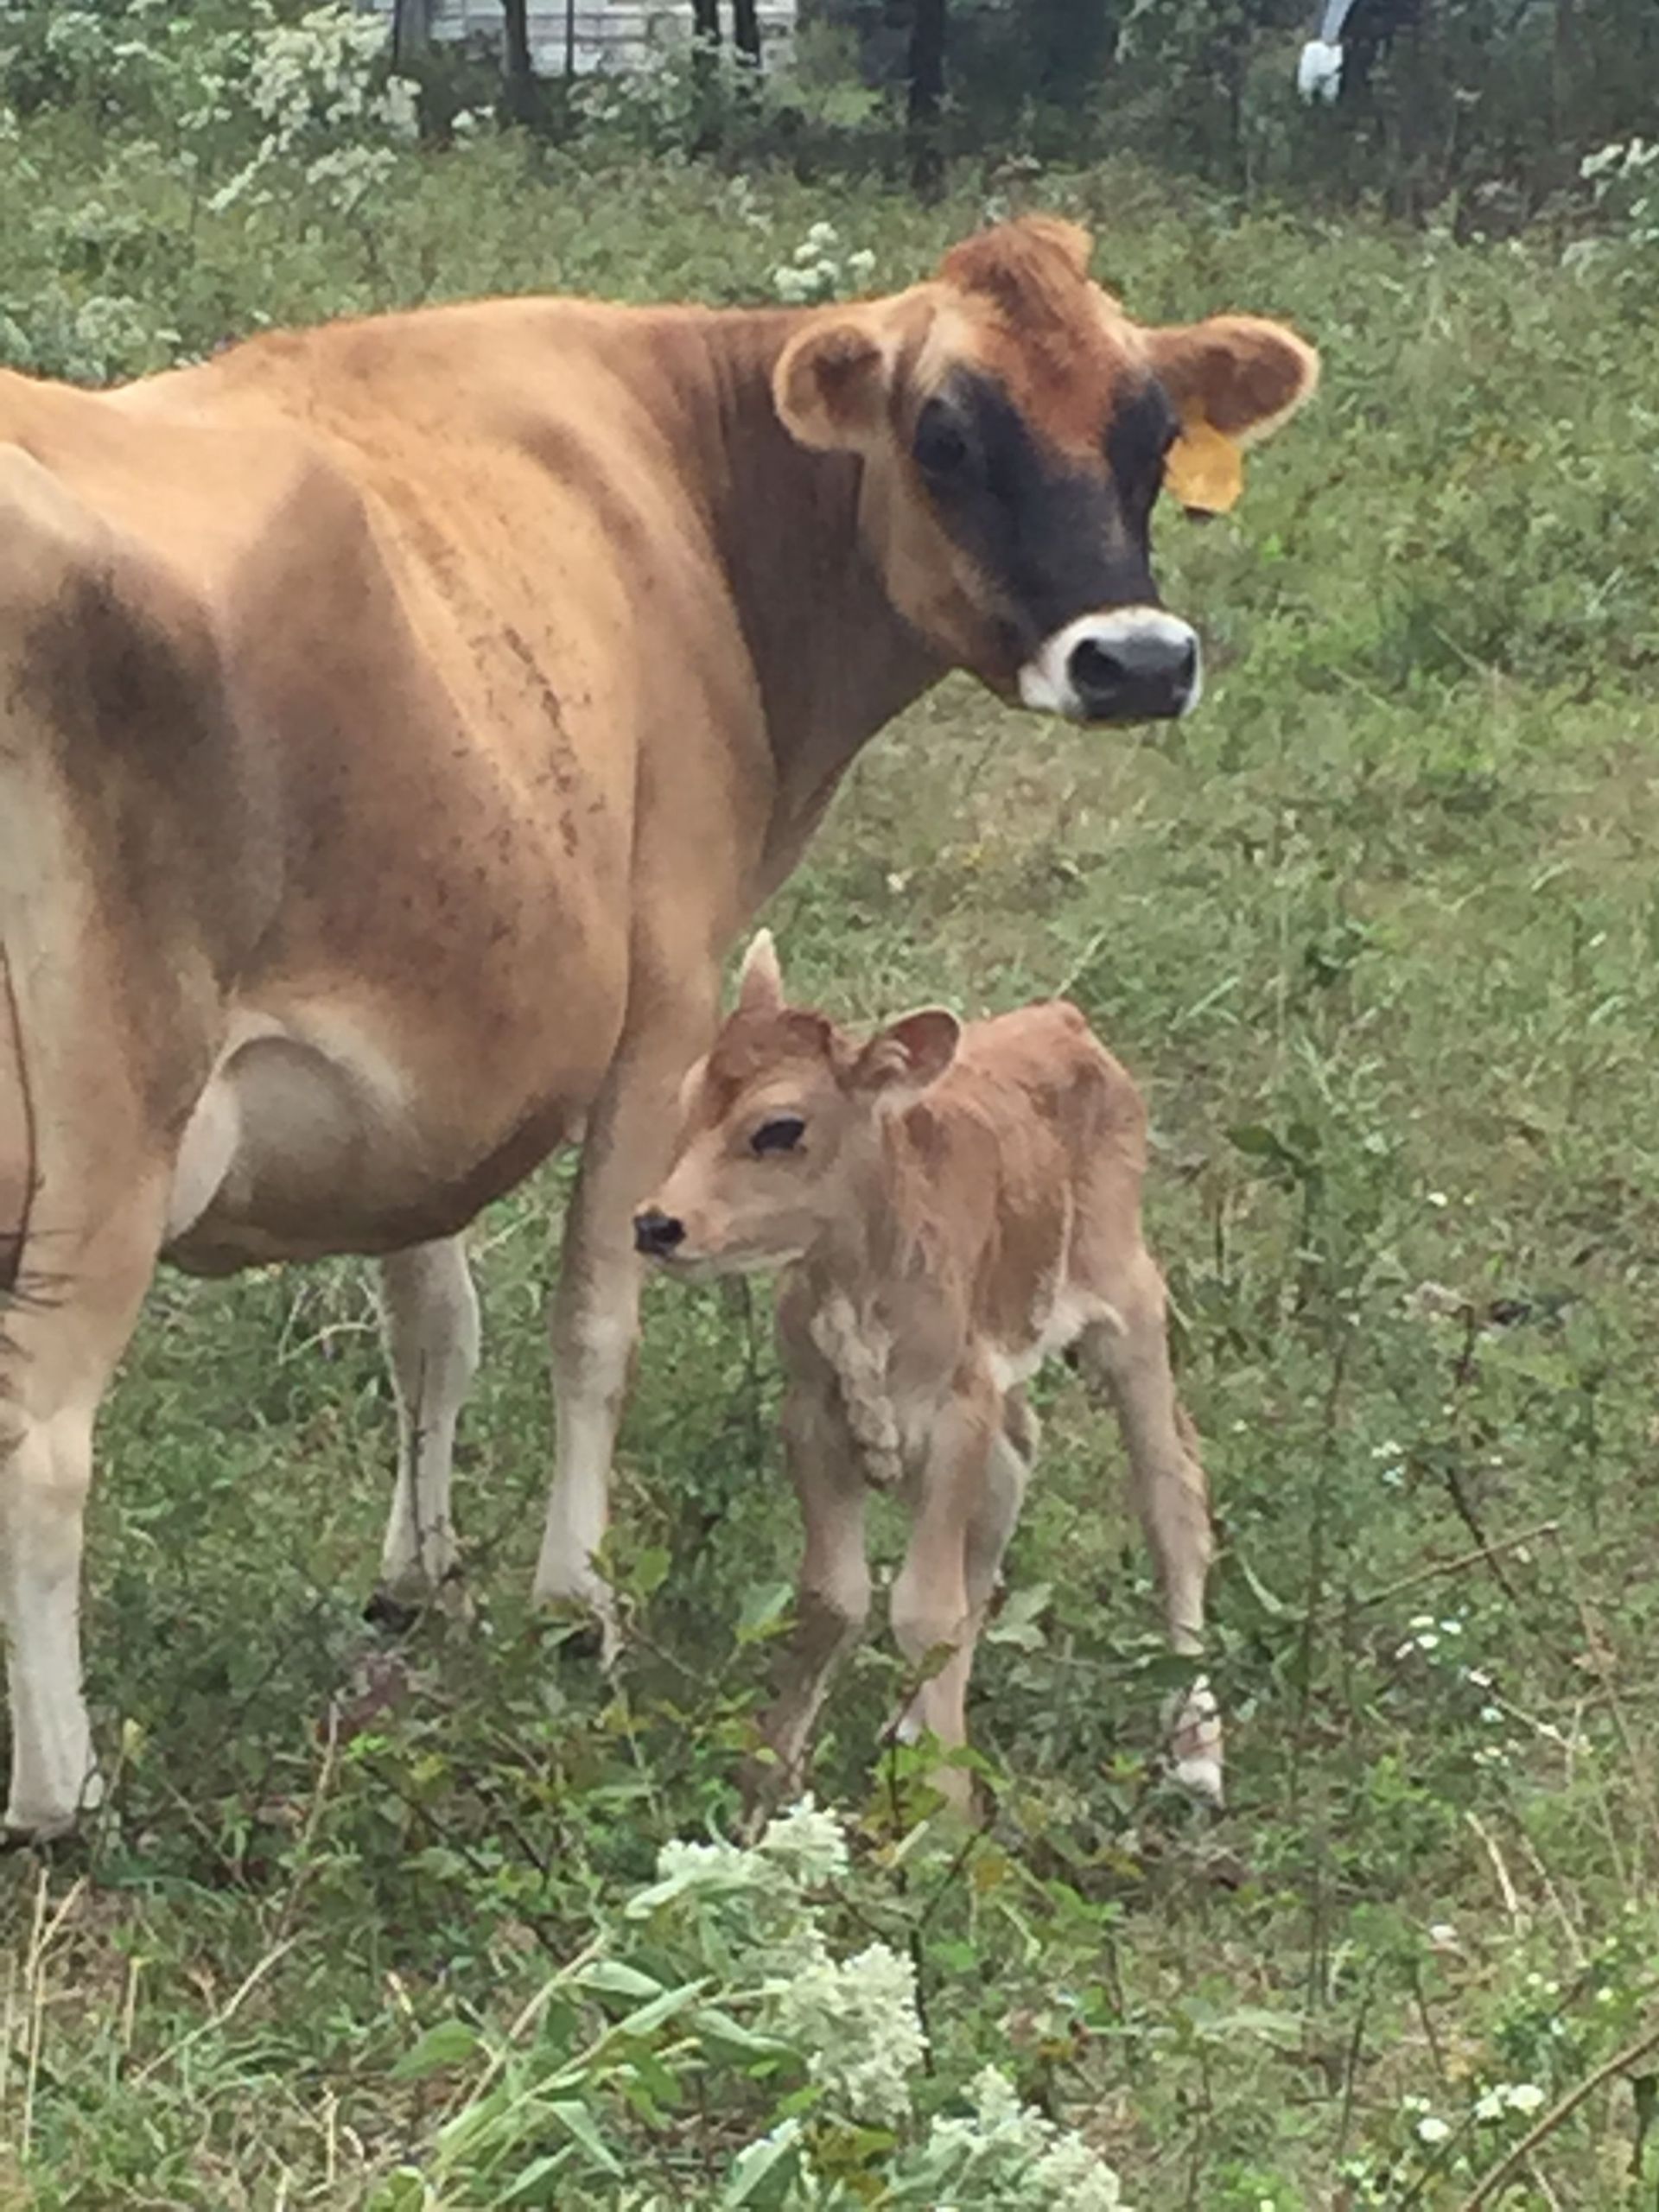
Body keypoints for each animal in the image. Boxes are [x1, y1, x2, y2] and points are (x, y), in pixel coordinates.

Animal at [637, 933, 1221, 1814]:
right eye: (686, 1099)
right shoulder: (813, 1414)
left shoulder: (954, 1412)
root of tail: (1064, 1021)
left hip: (1129, 1296)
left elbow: (924, 1608)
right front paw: (768, 1783)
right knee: (1016, 1467)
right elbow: (835, 1597)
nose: (657, 1224)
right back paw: (914, 1722)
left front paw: (946, 1807)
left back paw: (1195, 1747)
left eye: (779, 1128)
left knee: (1171, 1496)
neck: (859, 1284)